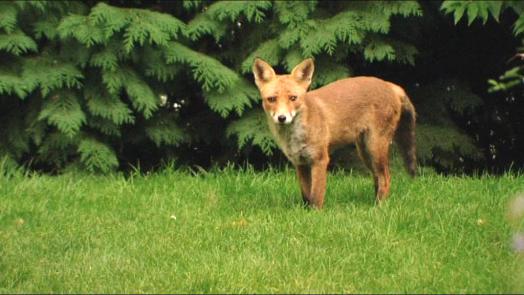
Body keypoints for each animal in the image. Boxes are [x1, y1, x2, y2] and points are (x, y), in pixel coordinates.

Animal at [252, 57, 416, 209]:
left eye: (293, 98)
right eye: (271, 99)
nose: (282, 118)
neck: (294, 136)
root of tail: (390, 84)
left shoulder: (320, 159)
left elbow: (316, 196)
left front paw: (315, 215)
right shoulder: (300, 163)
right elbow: (306, 195)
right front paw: (305, 212)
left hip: (375, 147)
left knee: (386, 177)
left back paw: (379, 207)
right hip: (365, 151)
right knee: (377, 177)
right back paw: (374, 202)